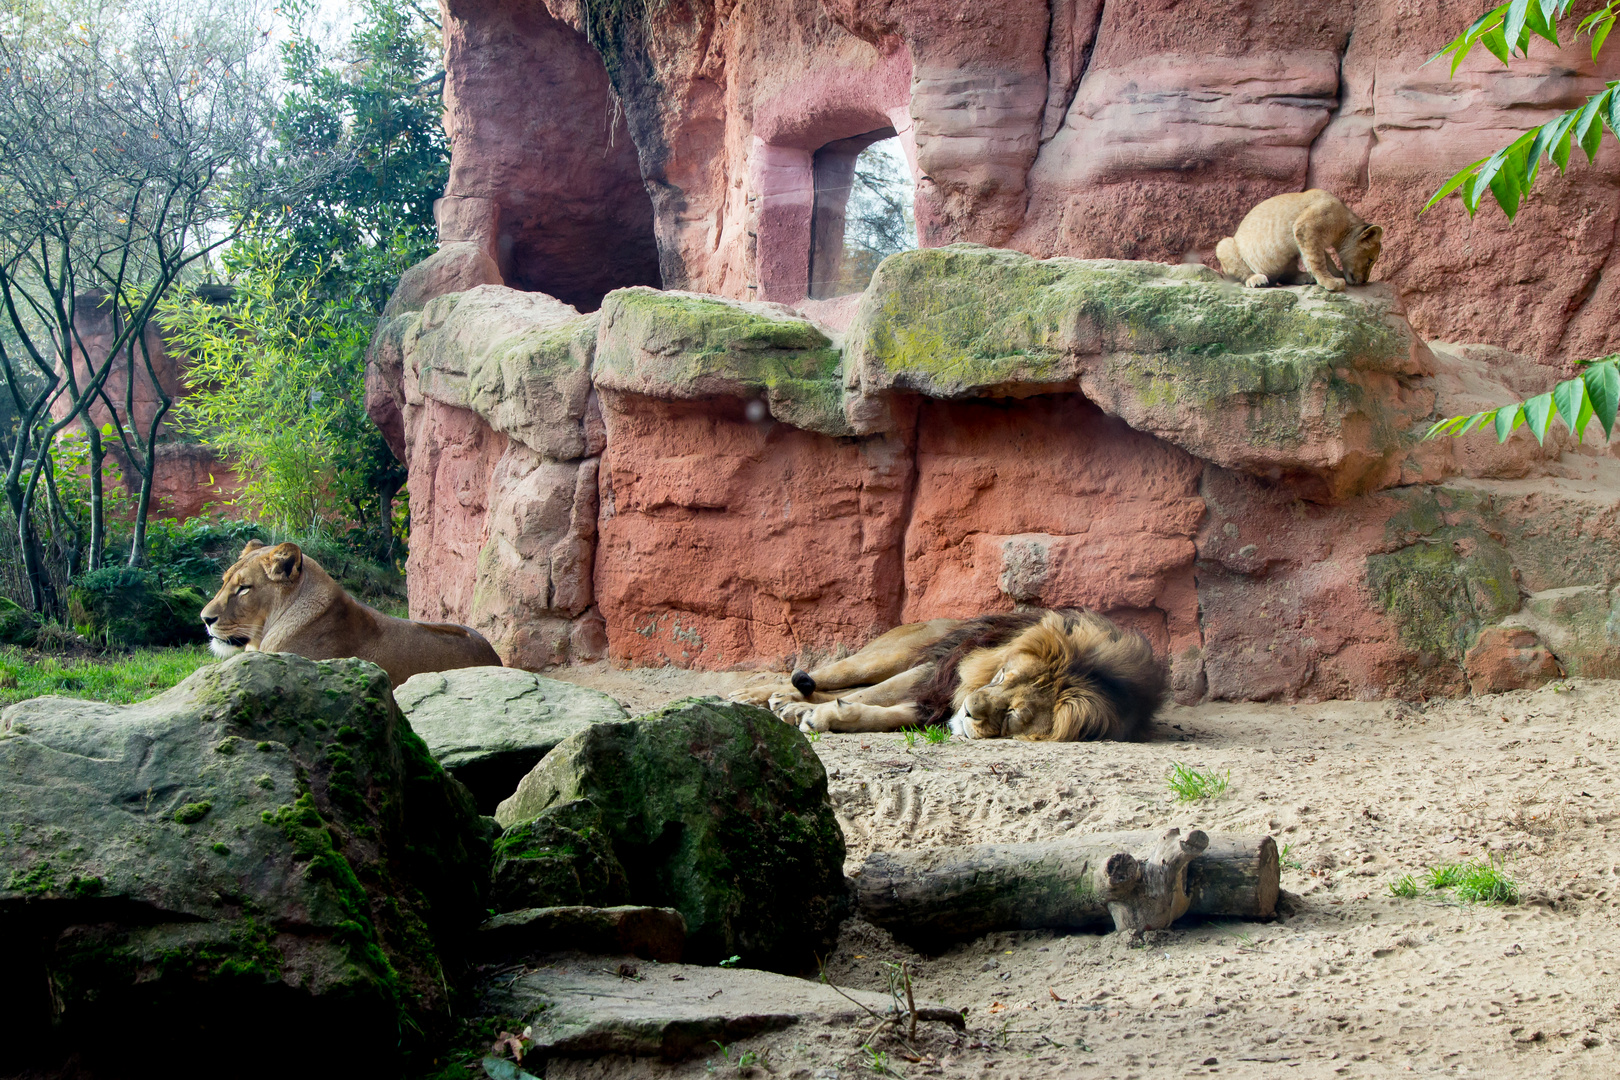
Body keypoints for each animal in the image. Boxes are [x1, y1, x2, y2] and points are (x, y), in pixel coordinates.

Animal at [732, 608, 1166, 744]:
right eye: (1003, 676)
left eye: (1014, 715)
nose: (970, 712)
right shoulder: (940, 672)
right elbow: (871, 696)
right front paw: (799, 712)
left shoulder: (932, 702)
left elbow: (876, 709)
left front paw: (820, 717)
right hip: (893, 654)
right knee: (828, 677)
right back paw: (754, 695)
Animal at [1218, 187, 1380, 291]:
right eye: (1370, 260)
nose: (1364, 281)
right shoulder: (1307, 226)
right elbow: (1317, 260)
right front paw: (1331, 282)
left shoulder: (1310, 237)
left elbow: (1326, 260)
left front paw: (1336, 274)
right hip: (1224, 244)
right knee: (1244, 273)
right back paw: (1257, 280)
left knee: (1284, 276)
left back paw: (1304, 277)